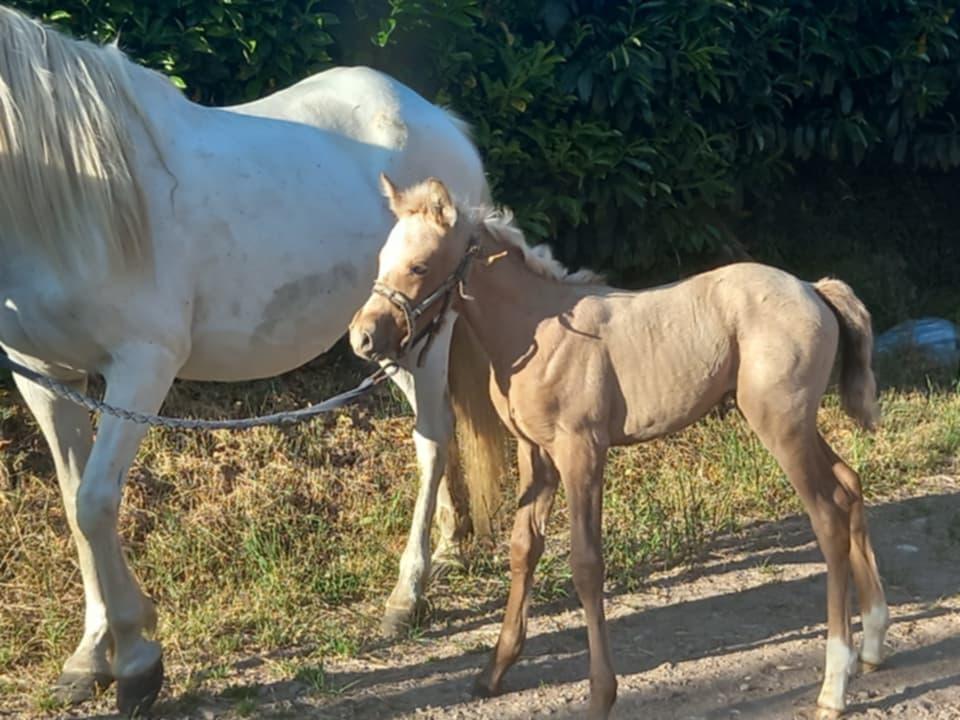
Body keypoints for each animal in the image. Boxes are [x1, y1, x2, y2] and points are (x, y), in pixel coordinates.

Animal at [0, 7, 509, 715]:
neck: (72, 196)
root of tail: (441, 121)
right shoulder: (49, 379)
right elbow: (77, 509)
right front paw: (87, 658)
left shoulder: (142, 367)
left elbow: (97, 504)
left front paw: (137, 660)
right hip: (387, 339)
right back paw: (452, 549)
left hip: (424, 336)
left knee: (431, 442)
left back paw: (408, 595)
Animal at [349, 175, 891, 720]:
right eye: (380, 260)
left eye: (419, 266)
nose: (362, 338)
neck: (537, 328)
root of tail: (815, 289)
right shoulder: (535, 452)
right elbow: (524, 548)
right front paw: (493, 671)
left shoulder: (582, 450)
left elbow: (586, 564)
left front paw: (600, 695)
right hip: (797, 422)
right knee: (848, 485)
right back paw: (871, 642)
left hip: (781, 424)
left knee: (827, 515)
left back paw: (833, 685)